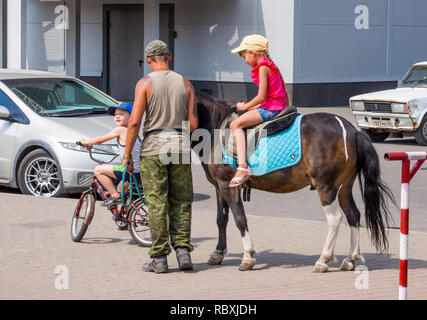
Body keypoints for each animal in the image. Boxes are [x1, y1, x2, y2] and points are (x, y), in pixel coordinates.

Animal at [192, 93, 396, 272]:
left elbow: (239, 218)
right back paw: (349, 260)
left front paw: (248, 257)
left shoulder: (227, 185)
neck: (215, 128)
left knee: (335, 219)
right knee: (353, 215)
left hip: (326, 187)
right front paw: (218, 253)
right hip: (344, 187)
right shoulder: (219, 186)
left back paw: (323, 259)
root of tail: (351, 130)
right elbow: (221, 219)